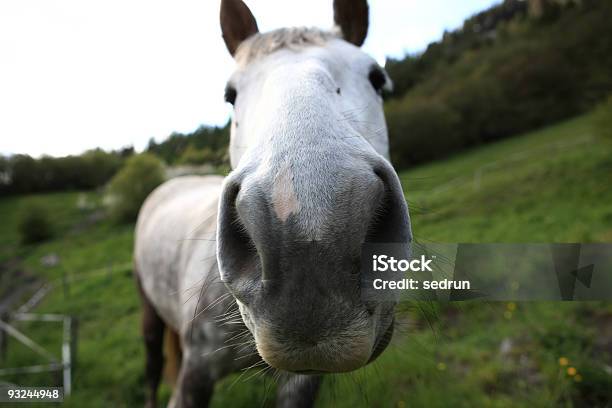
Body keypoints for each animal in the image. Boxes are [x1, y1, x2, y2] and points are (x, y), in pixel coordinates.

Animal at [134, 0, 412, 406]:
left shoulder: (302, 381)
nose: (310, 248)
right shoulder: (195, 374)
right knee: (153, 367)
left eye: (377, 78)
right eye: (230, 94)